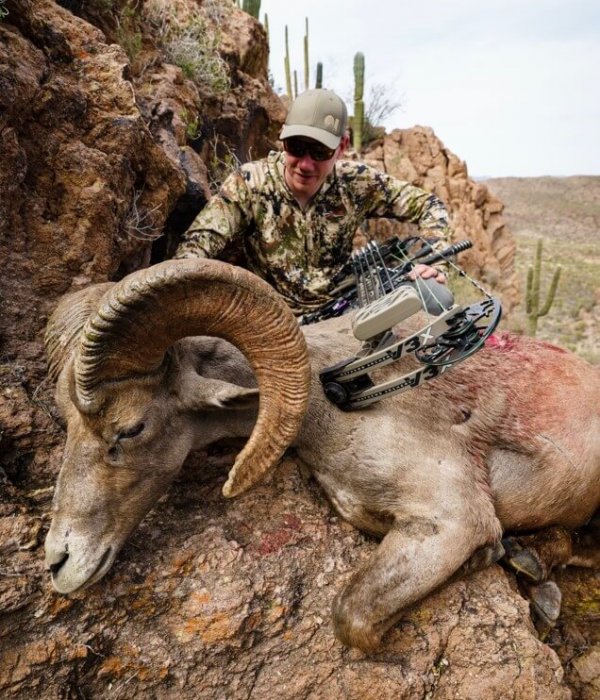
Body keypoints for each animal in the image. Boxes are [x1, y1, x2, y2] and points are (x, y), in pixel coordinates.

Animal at [44, 258, 600, 651]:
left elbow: (352, 617)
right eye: (66, 422)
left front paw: (495, 554)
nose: (58, 562)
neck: (329, 398)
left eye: (131, 428)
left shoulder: (453, 518)